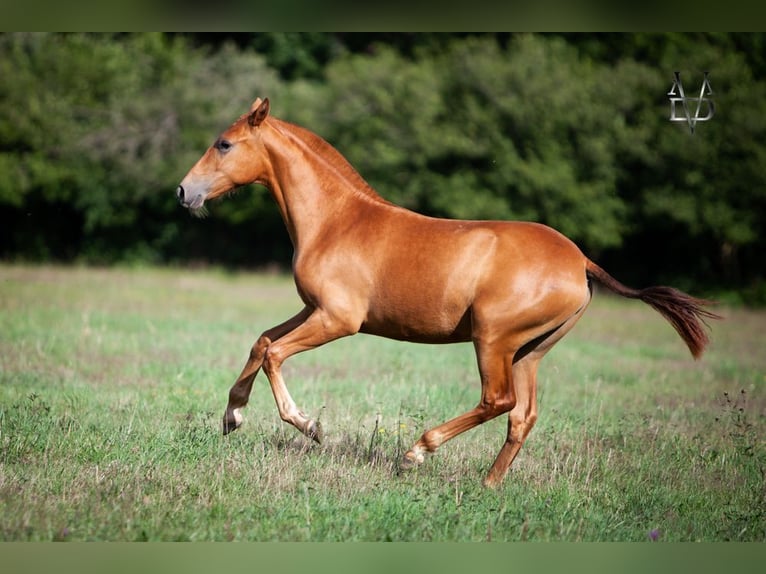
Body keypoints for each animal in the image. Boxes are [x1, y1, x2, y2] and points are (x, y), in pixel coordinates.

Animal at [177, 98, 724, 486]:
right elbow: (262, 341)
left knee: (498, 401)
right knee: (522, 416)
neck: (336, 222)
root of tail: (580, 262)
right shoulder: (313, 309)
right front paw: (232, 415)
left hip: (493, 339)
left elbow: (274, 353)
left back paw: (417, 452)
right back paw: (488, 486)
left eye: (224, 144)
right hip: (531, 350)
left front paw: (308, 425)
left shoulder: (339, 319)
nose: (184, 192)